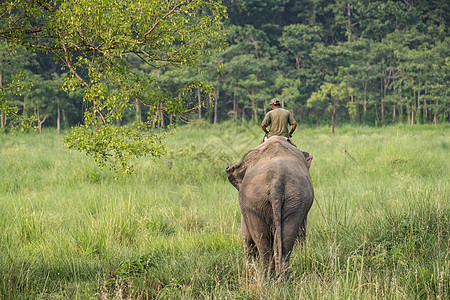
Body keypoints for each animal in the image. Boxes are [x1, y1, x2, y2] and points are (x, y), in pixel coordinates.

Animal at [225, 136, 312, 276]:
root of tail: (277, 181)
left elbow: (246, 235)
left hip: (255, 202)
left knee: (263, 244)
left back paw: (267, 278)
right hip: (294, 200)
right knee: (284, 243)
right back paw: (280, 279)